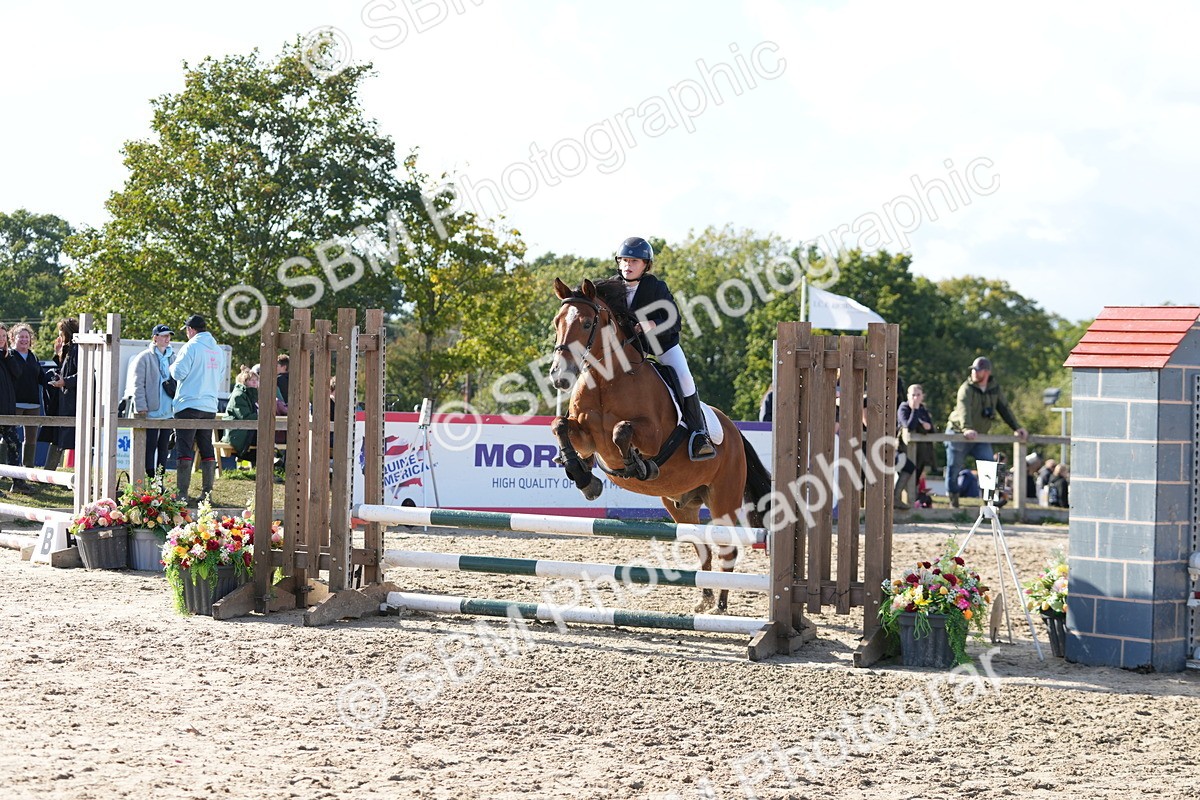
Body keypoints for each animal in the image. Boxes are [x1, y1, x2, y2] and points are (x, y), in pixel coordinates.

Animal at [548, 277, 773, 613]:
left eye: (587, 323)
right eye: (556, 322)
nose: (560, 377)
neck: (607, 381)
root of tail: (734, 431)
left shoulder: (652, 436)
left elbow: (622, 431)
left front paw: (637, 466)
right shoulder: (585, 434)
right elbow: (560, 426)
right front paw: (584, 477)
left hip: (723, 500)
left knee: (726, 548)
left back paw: (720, 604)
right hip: (681, 505)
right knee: (703, 549)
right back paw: (705, 599)